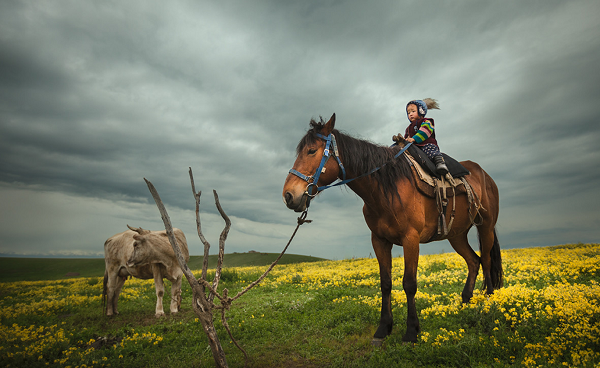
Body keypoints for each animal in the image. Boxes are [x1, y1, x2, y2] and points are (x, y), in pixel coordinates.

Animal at [282, 113, 502, 344]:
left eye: (311, 150)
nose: (288, 195)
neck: (386, 188)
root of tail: (484, 175)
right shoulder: (379, 240)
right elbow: (386, 283)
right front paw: (383, 328)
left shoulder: (410, 239)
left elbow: (409, 284)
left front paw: (411, 331)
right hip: (456, 235)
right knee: (474, 261)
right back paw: (465, 302)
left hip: (486, 227)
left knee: (487, 261)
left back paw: (488, 301)